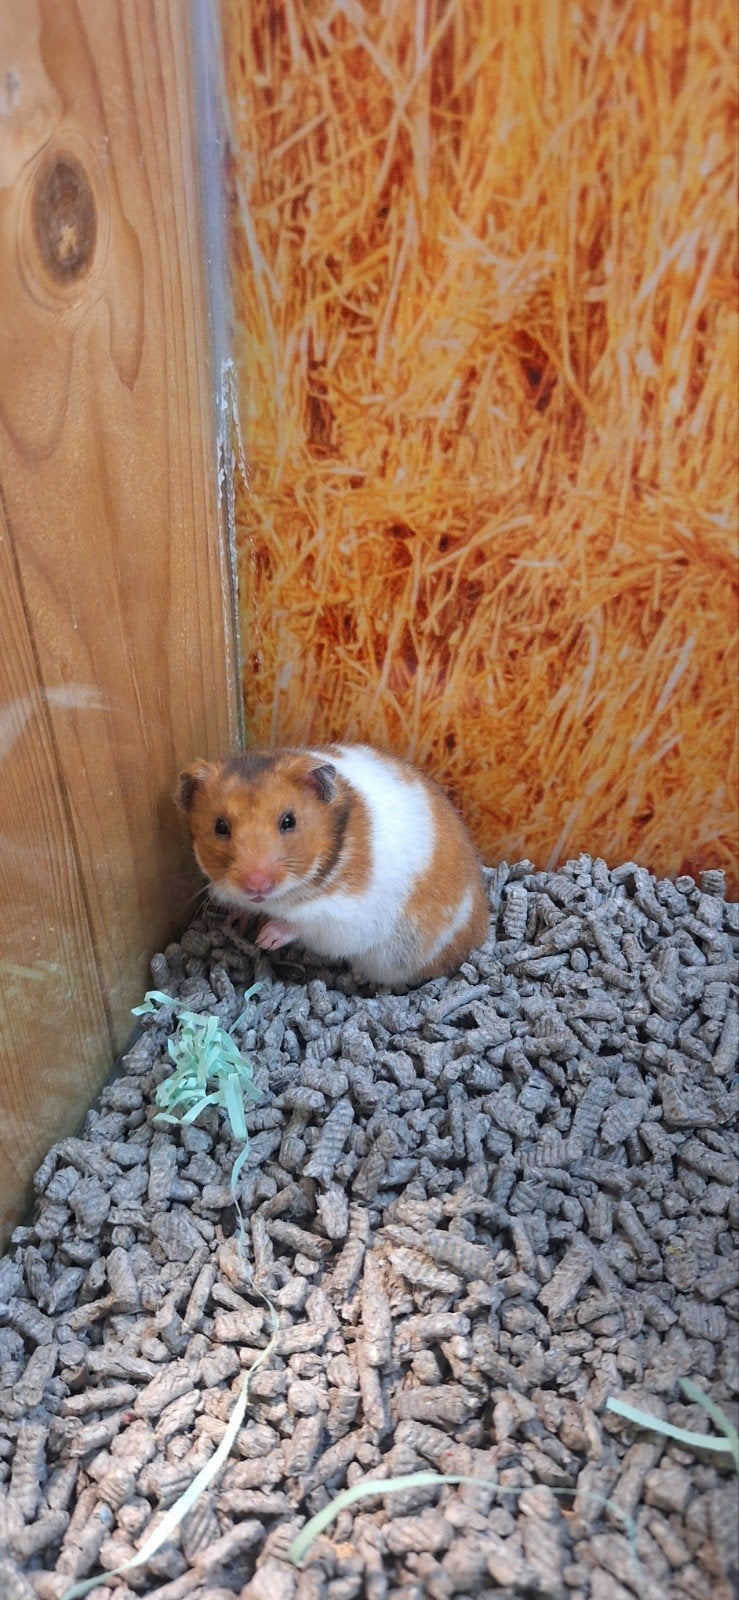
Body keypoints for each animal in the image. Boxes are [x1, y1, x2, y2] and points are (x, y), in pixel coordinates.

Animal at [176, 743, 489, 987]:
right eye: (220, 826)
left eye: (289, 821)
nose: (257, 885)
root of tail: (480, 932)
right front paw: (234, 920)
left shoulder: (344, 915)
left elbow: (300, 922)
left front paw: (265, 940)